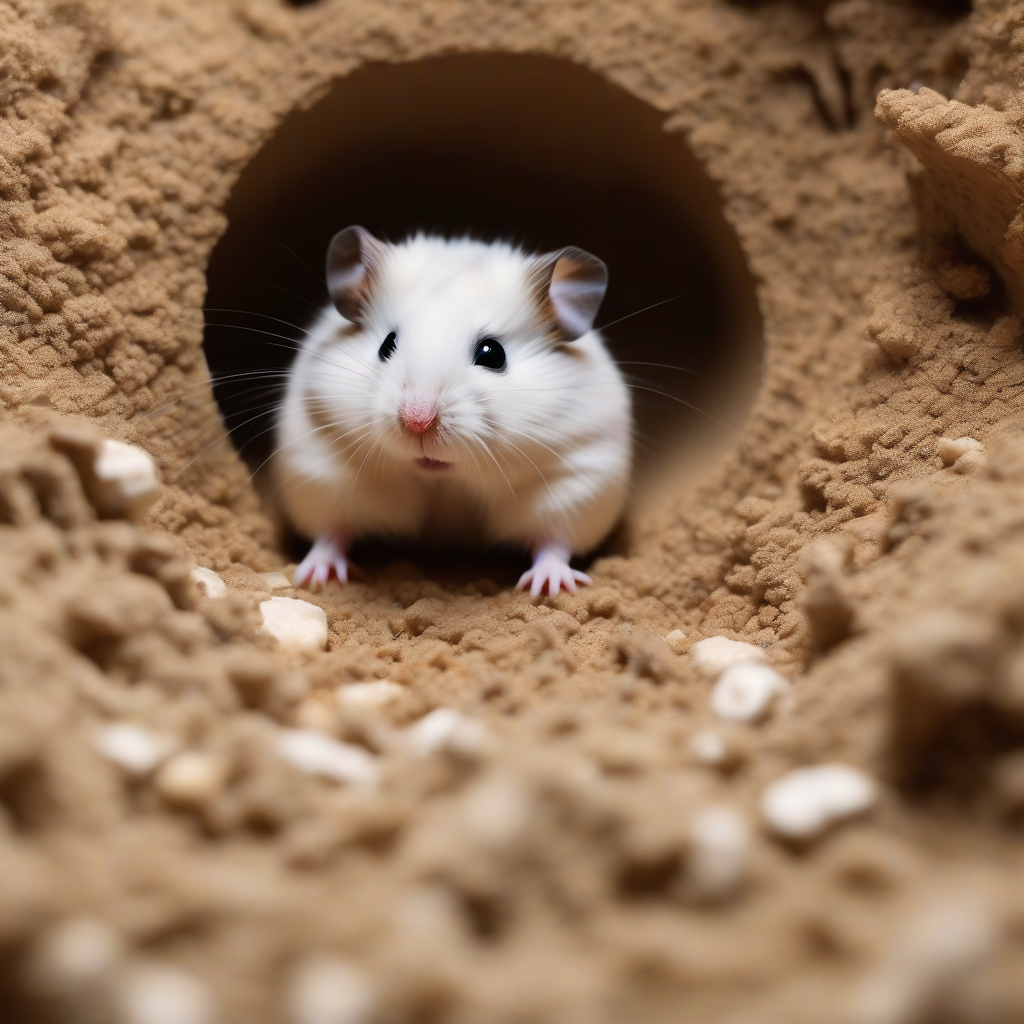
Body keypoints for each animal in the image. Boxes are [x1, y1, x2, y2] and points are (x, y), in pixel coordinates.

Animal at [274, 227, 632, 596]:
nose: (417, 421)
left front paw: (550, 588)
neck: (442, 478)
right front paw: (313, 578)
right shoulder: (320, 470)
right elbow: (331, 531)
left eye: (493, 353)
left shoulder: (574, 480)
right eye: (387, 344)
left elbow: (554, 541)